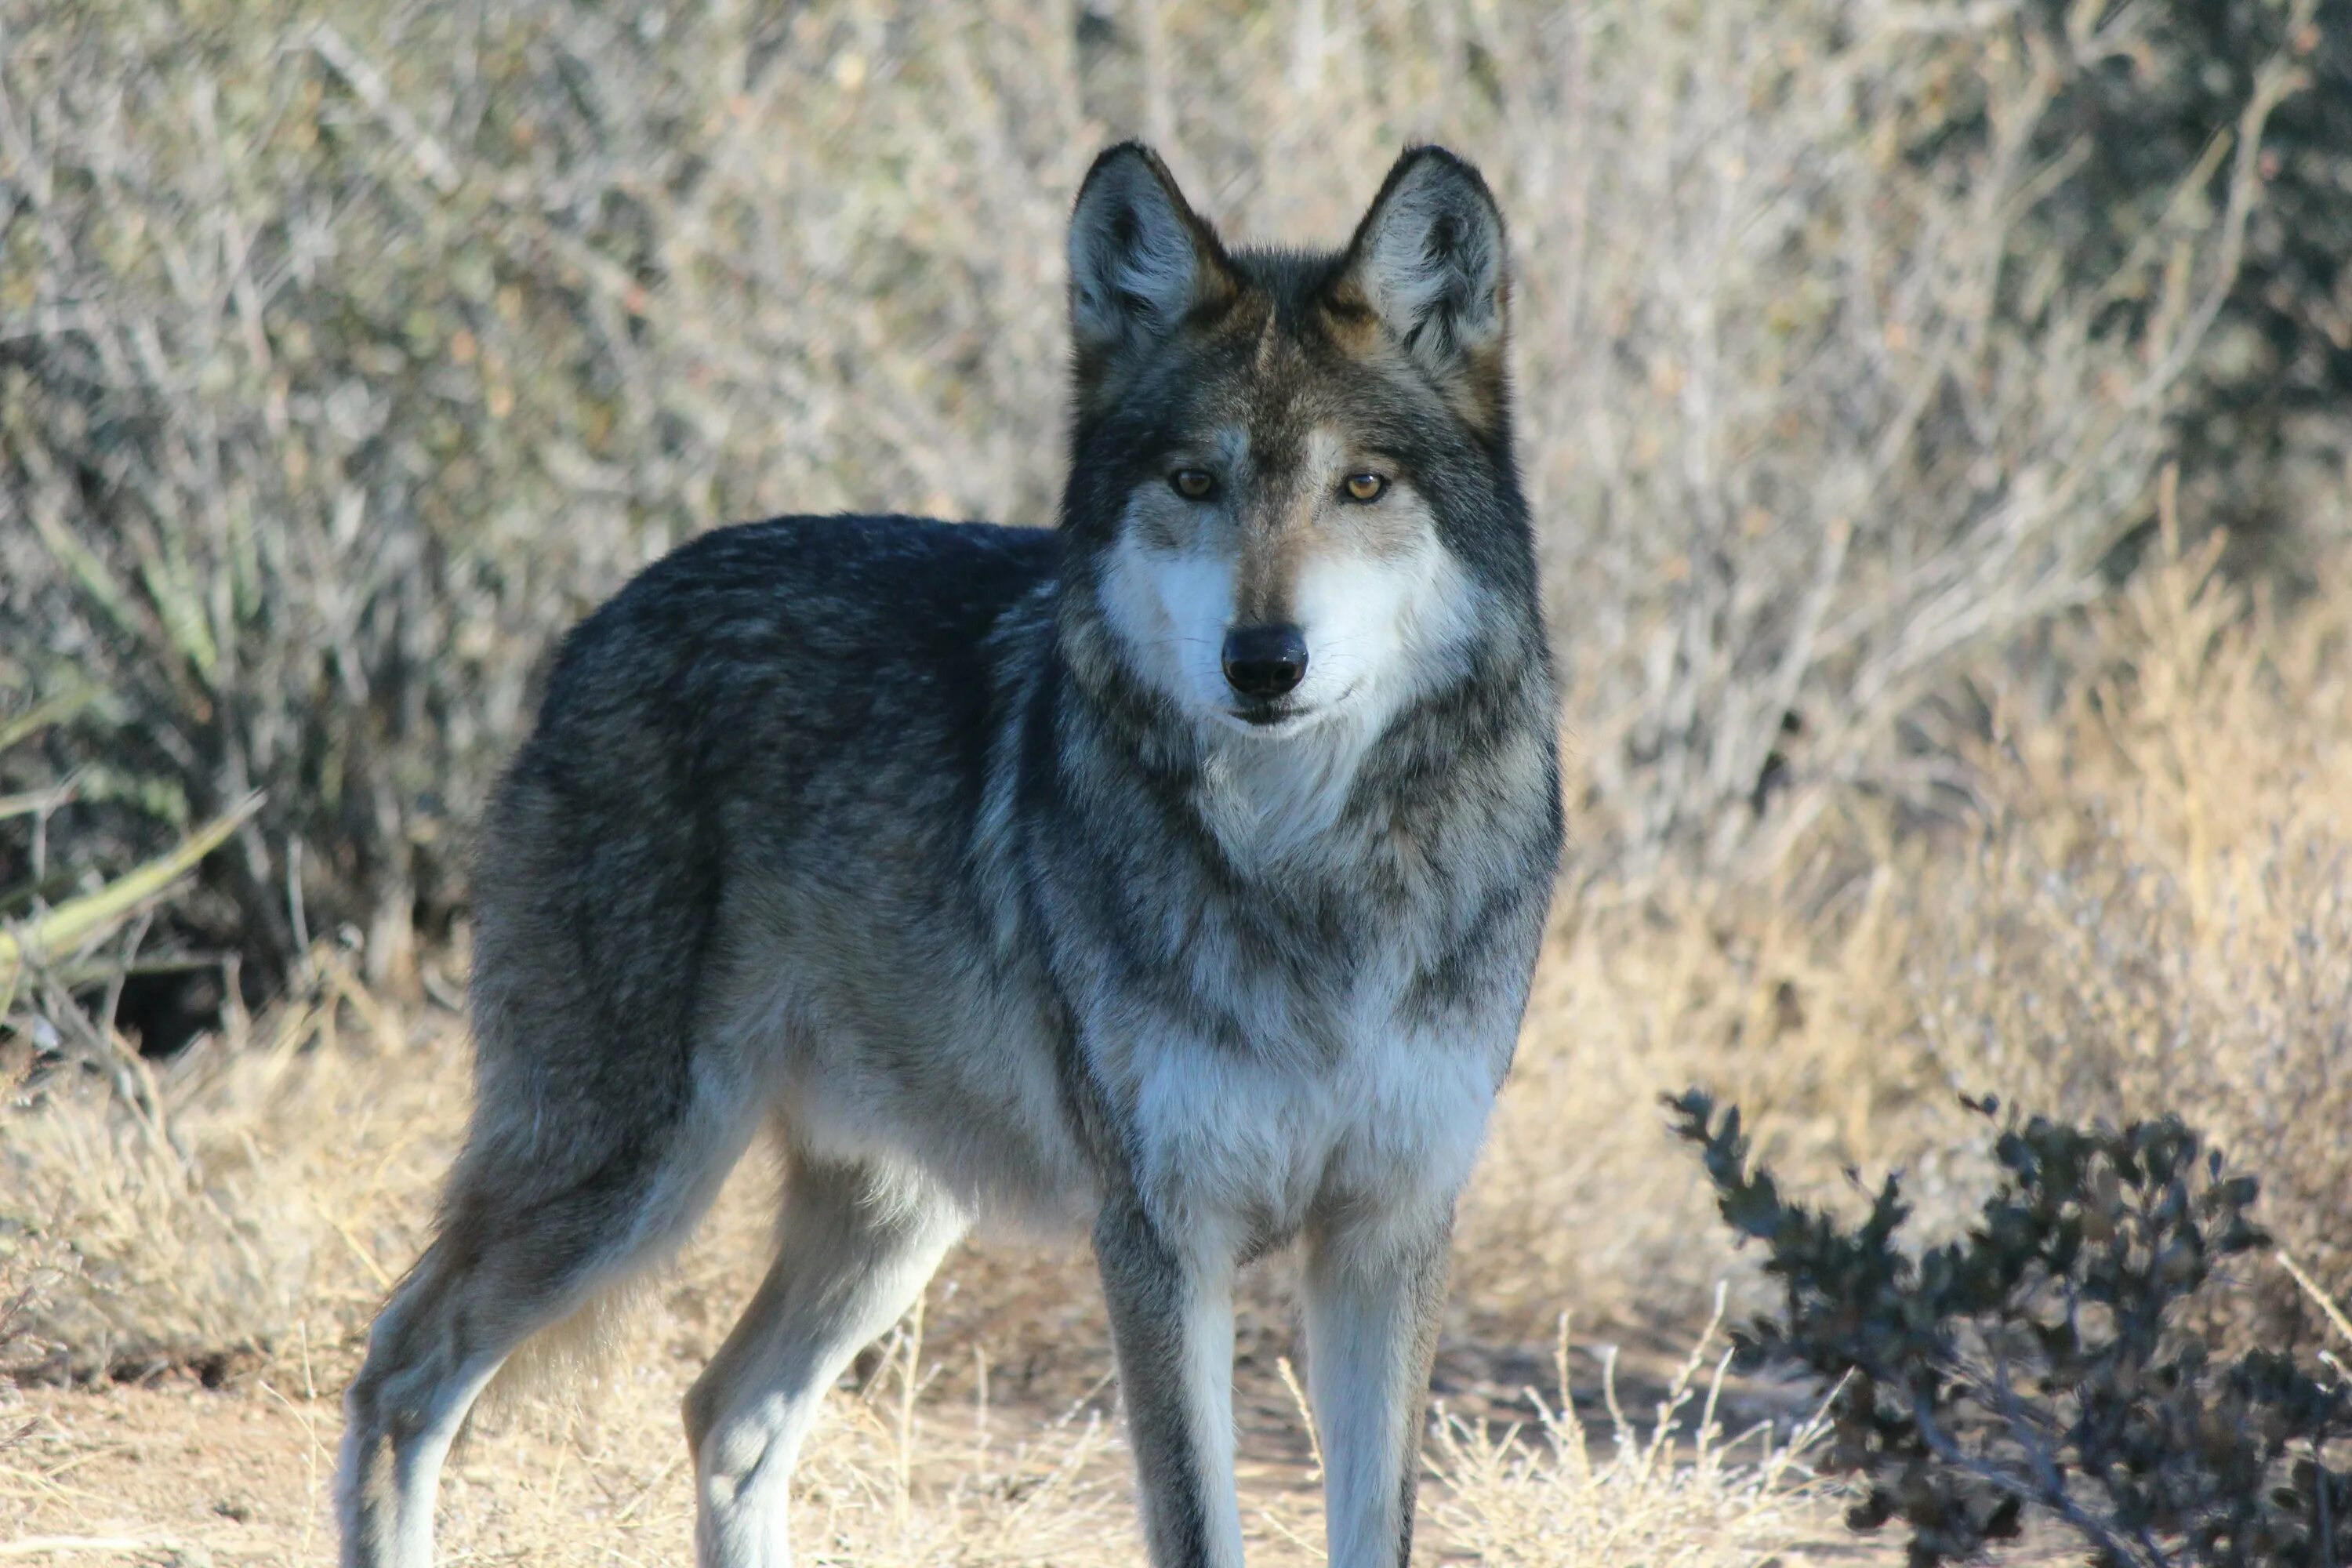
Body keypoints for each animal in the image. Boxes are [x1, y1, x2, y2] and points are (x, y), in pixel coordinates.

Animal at [341, 143, 1562, 1568]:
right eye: (1194, 484)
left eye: (1361, 486)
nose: (1265, 662)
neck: (1310, 876)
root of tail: (597, 624)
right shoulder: (1158, 1244)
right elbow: (1198, 1528)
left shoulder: (1388, 1235)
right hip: (623, 1176)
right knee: (401, 1375)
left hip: (885, 1219)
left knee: (725, 1411)